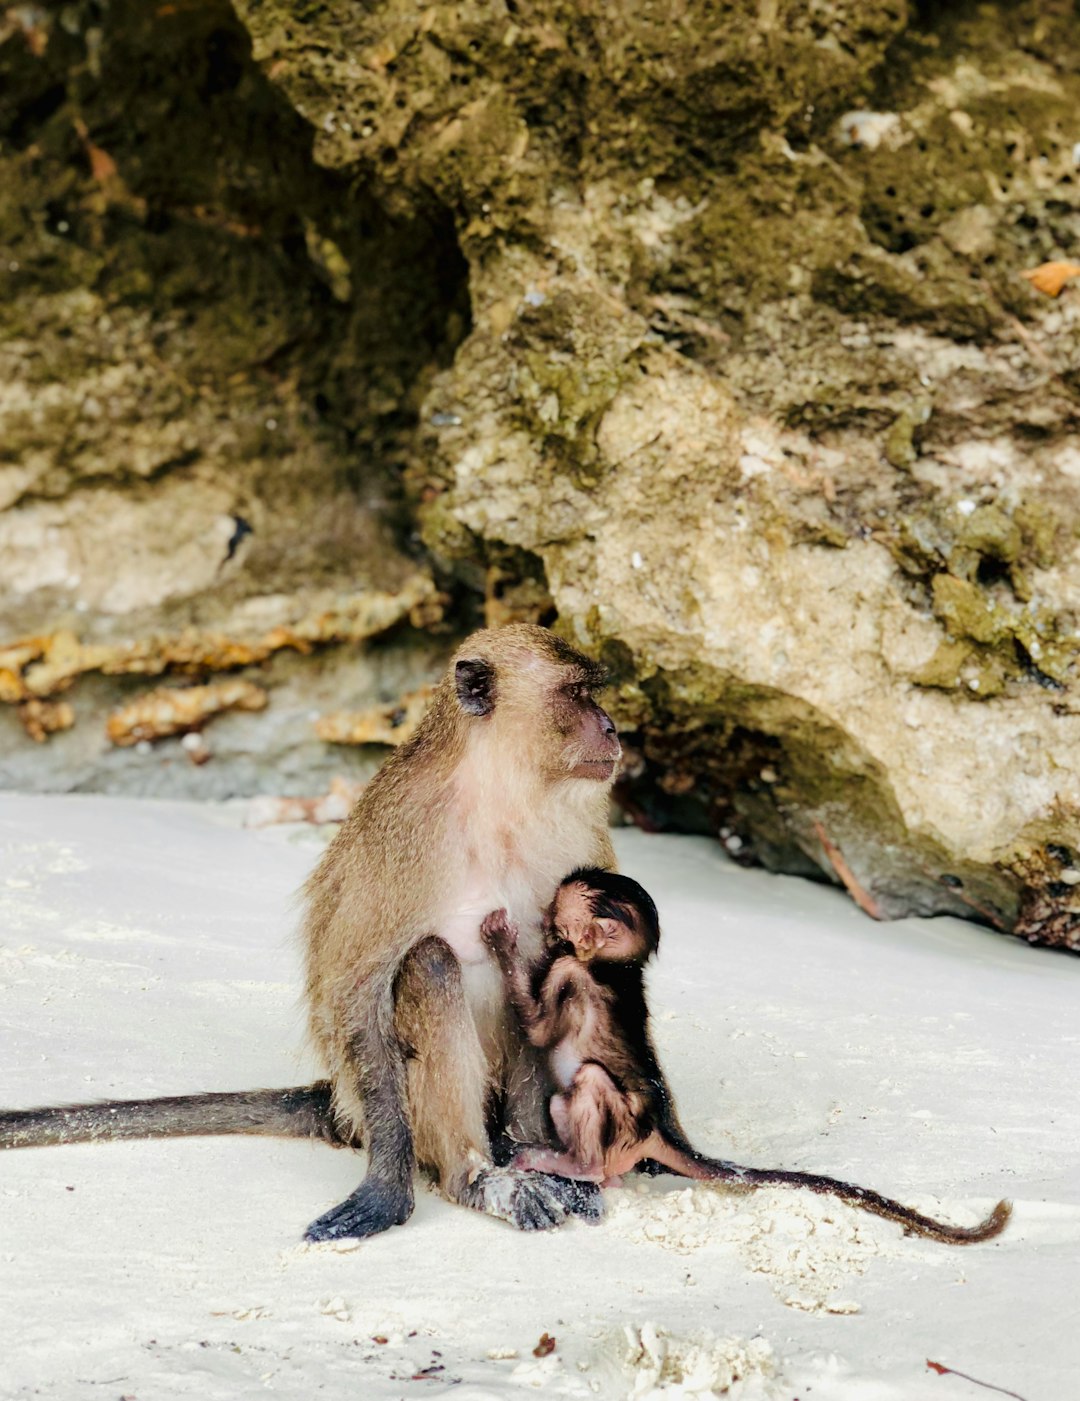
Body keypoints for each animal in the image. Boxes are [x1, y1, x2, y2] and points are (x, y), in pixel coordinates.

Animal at [476, 863, 1008, 1249]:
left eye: (554, 913)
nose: (543, 921)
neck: (615, 967)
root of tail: (662, 1126)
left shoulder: (570, 971)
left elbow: (539, 1028)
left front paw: (502, 941)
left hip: (625, 1120)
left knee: (588, 1080)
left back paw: (576, 1165)